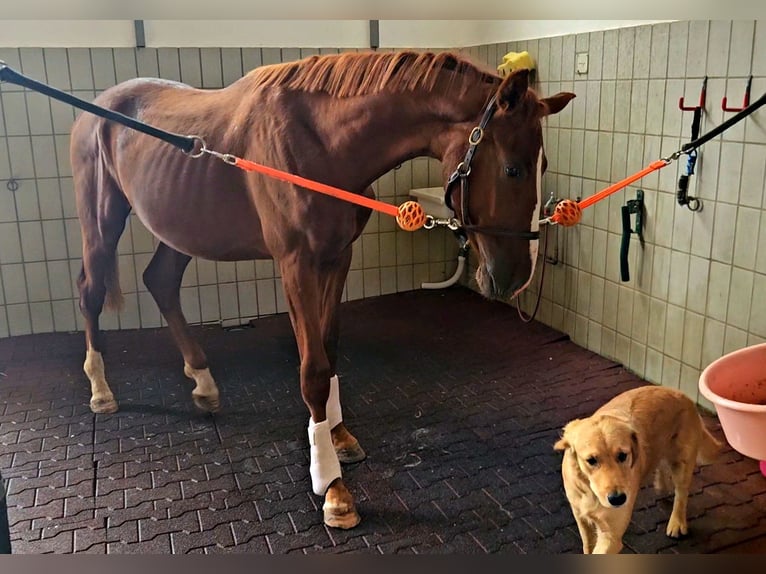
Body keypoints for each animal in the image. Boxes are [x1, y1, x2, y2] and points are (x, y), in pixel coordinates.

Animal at [72, 50, 576, 532]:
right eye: (513, 169)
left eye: (544, 165)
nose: (516, 276)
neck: (321, 142)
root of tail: (97, 108)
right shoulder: (296, 264)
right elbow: (312, 369)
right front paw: (332, 487)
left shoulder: (338, 258)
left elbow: (330, 349)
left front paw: (337, 436)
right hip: (101, 216)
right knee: (91, 291)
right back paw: (100, 389)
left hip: (183, 225)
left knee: (161, 281)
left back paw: (202, 379)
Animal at [556, 384, 724, 556]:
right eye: (591, 460)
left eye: (623, 455)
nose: (618, 499)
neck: (590, 492)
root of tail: (683, 395)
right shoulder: (581, 518)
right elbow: (587, 545)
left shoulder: (611, 534)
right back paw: (661, 485)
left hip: (682, 463)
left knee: (681, 493)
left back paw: (677, 522)